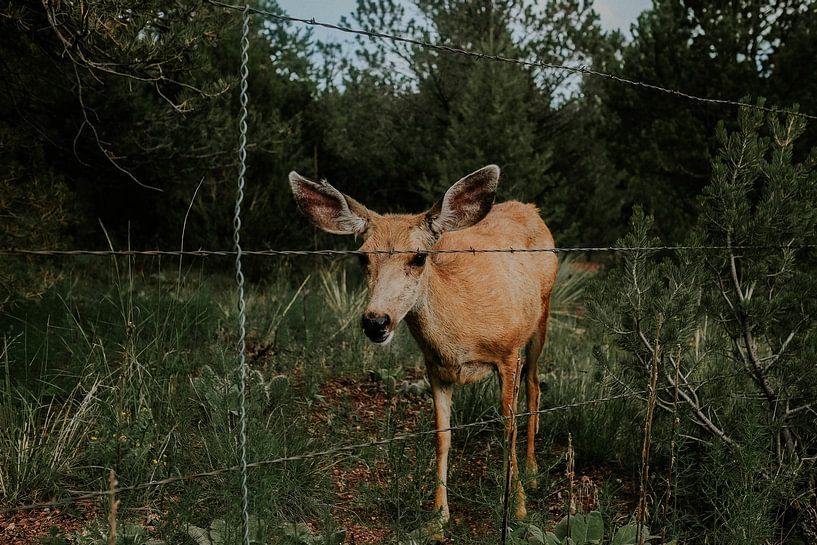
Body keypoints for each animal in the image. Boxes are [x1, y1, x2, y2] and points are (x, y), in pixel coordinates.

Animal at [286, 165, 556, 532]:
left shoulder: (507, 352)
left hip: (541, 315)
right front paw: (438, 516)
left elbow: (508, 428)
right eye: (362, 257)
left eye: (418, 257)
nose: (376, 321)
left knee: (534, 385)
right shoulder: (434, 365)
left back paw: (532, 472)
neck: (462, 333)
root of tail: (530, 208)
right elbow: (442, 435)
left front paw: (518, 508)